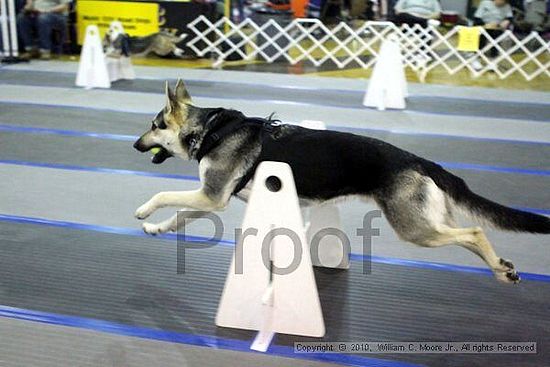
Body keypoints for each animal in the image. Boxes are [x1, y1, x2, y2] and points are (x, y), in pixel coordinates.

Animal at [134, 80, 550, 284]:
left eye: (155, 126)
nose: (134, 145)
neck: (210, 131)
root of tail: (420, 160)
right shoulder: (209, 199)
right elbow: (178, 217)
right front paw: (156, 228)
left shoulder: (210, 195)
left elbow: (164, 193)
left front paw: (143, 210)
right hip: (429, 222)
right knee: (470, 235)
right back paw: (501, 269)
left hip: (416, 229)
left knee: (475, 232)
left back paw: (499, 267)